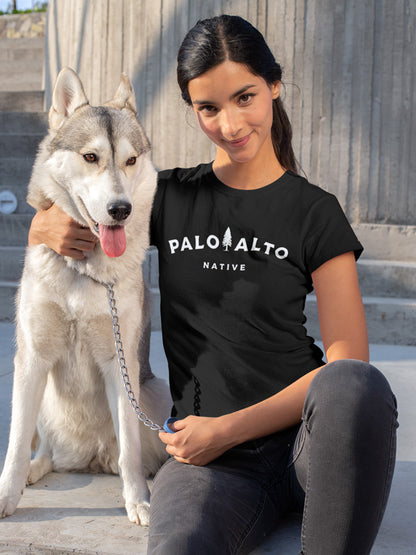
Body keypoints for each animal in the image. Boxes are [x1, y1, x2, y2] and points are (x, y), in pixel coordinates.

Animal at [0, 67, 171, 524]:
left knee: (134, 453)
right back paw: (37, 469)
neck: (85, 269)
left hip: (156, 392)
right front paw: (7, 493)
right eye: (90, 157)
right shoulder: (32, 359)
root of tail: (89, 458)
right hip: (37, 390)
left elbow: (131, 449)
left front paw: (139, 500)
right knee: (43, 449)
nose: (120, 209)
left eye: (131, 160)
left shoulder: (120, 363)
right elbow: (16, 443)